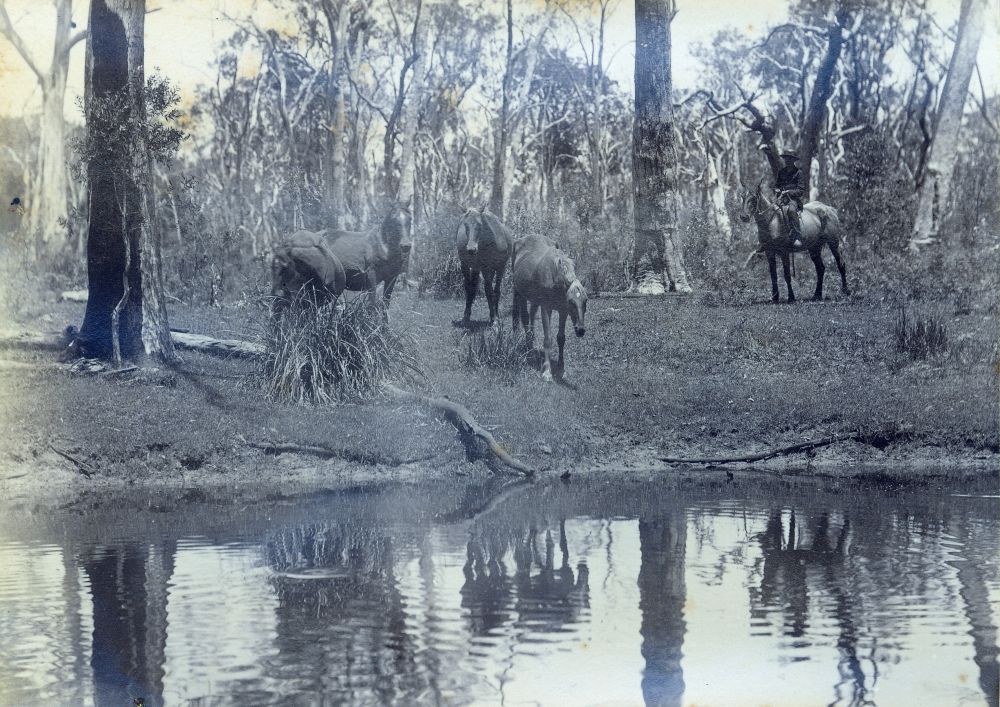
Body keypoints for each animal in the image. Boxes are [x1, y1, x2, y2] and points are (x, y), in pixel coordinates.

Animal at [511, 234, 587, 382]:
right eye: (571, 302)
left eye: (585, 300)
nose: (580, 330)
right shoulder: (547, 308)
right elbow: (548, 339)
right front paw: (547, 371)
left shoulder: (563, 311)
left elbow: (561, 338)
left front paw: (562, 369)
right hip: (519, 294)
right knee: (524, 318)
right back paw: (528, 349)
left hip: (534, 298)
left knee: (531, 314)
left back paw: (531, 343)